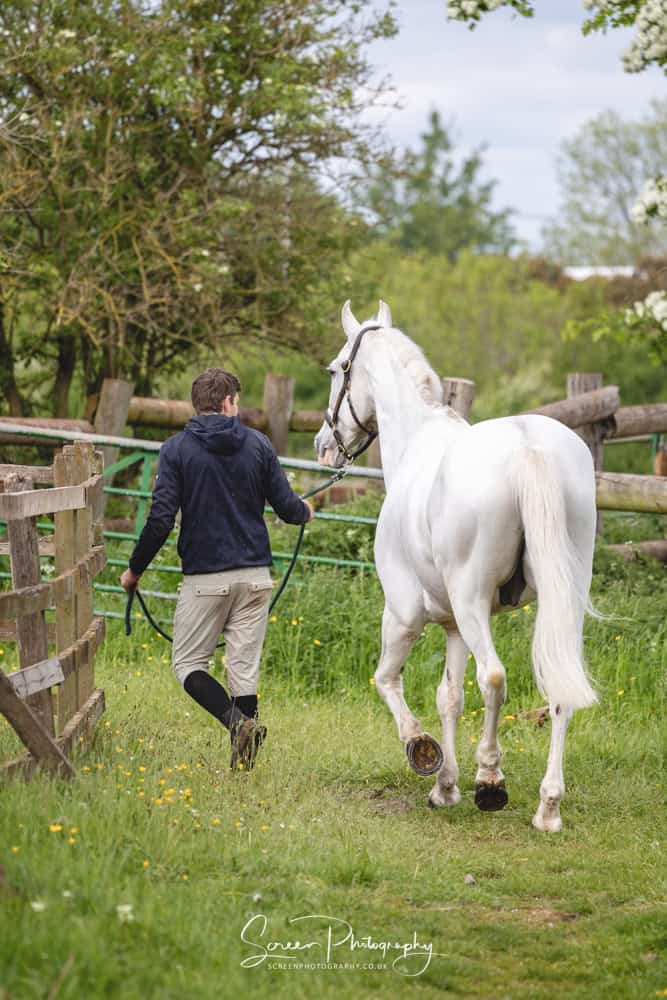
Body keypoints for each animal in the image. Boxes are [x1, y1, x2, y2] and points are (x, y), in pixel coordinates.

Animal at [314, 300, 598, 832]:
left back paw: (491, 780)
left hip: (469, 602)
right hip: (556, 603)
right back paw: (548, 807)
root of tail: (528, 448)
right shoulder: (452, 625)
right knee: (558, 688)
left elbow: (388, 680)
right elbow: (449, 697)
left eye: (337, 368)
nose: (324, 445)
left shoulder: (404, 616)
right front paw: (445, 787)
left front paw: (425, 754)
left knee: (494, 678)